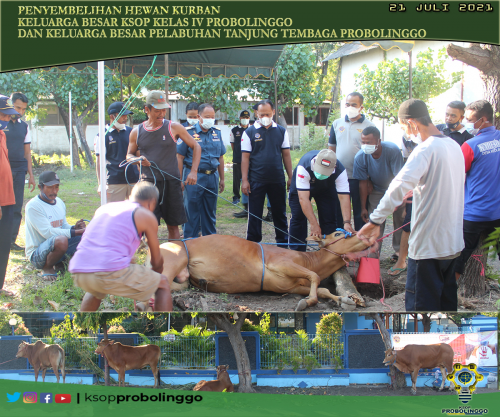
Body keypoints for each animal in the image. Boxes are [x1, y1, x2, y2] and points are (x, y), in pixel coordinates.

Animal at [152, 229, 368, 310]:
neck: (308, 260)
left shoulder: (291, 286)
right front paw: (307, 302)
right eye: (337, 233)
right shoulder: (281, 263)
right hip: (174, 260)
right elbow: (315, 277)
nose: (363, 234)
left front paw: (344, 299)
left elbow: (321, 287)